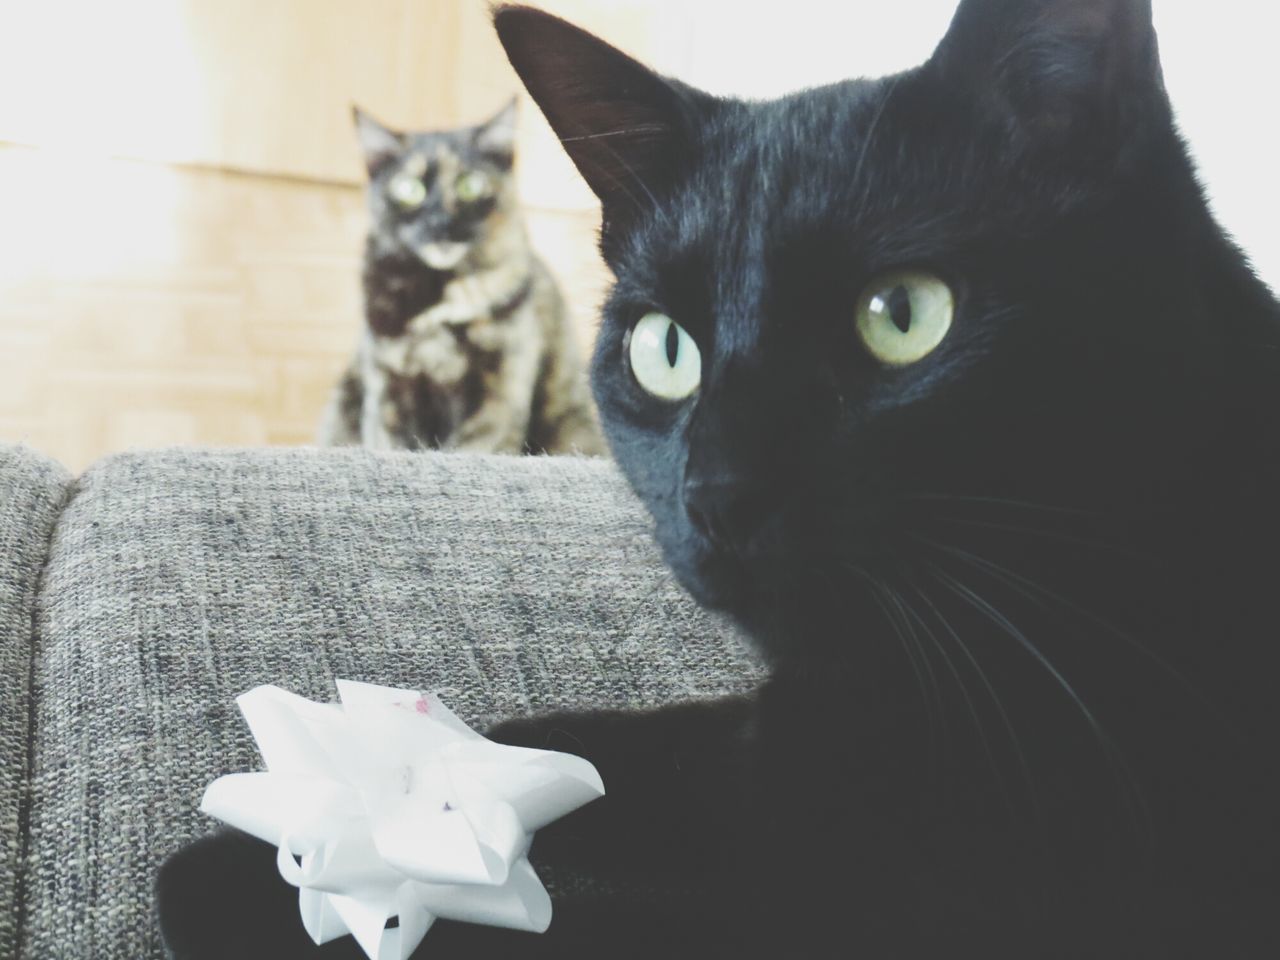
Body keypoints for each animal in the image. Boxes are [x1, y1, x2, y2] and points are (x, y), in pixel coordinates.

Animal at [317, 103, 601, 455]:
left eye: (470, 185)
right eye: (409, 188)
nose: (439, 221)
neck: (441, 297)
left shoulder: (500, 389)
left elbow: (472, 447)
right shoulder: (389, 388)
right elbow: (389, 443)